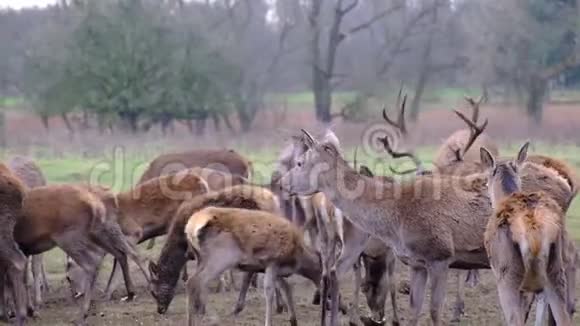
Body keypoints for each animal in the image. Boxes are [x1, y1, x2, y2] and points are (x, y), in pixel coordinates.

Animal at [14, 185, 150, 324]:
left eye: (68, 278)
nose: (75, 294)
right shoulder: (24, 250)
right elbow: (24, 278)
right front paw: (29, 311)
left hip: (70, 237)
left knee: (97, 262)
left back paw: (83, 314)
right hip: (105, 230)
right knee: (124, 253)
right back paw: (133, 291)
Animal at [480, 143, 572, 326]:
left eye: (487, 182)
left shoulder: (498, 270)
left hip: (508, 272)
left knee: (514, 319)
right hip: (555, 268)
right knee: (563, 317)